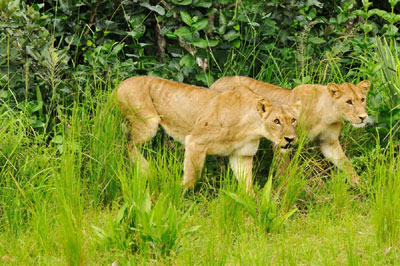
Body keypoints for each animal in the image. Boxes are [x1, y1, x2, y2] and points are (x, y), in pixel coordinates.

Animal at [115, 76, 300, 192]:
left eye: (293, 120)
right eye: (276, 121)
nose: (290, 139)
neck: (252, 129)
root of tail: (120, 85)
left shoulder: (242, 155)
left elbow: (247, 185)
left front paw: (253, 205)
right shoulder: (195, 141)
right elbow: (192, 176)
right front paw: (181, 193)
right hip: (148, 124)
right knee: (126, 143)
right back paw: (147, 169)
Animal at [211, 76, 370, 185]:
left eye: (362, 99)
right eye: (349, 102)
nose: (363, 117)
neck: (327, 113)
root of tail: (215, 83)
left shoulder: (328, 142)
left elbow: (346, 163)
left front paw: (359, 184)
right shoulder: (281, 142)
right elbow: (283, 169)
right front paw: (283, 188)